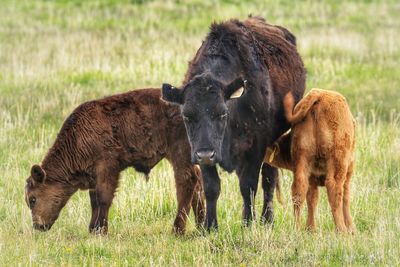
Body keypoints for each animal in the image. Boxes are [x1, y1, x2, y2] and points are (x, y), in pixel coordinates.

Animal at [24, 89, 205, 236]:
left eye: (32, 199)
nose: (38, 226)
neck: (77, 139)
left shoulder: (107, 168)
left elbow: (104, 198)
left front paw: (100, 230)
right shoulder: (93, 177)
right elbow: (94, 201)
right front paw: (93, 229)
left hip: (179, 153)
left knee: (186, 183)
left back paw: (177, 230)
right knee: (197, 182)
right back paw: (201, 227)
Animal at [161, 16, 304, 230]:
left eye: (222, 114)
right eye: (187, 116)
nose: (206, 154)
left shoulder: (257, 147)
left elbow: (249, 185)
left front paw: (248, 223)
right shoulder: (201, 152)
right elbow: (211, 187)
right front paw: (210, 226)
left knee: (268, 179)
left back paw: (266, 219)